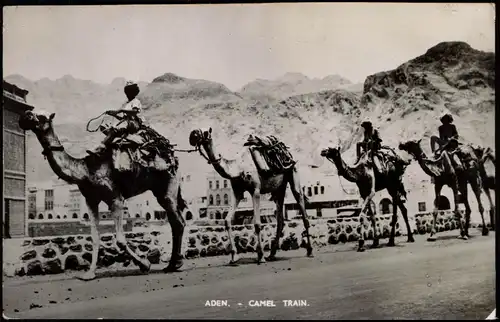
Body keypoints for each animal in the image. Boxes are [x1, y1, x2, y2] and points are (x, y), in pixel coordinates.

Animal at [19, 110, 188, 280]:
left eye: (42, 117)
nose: (26, 114)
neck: (85, 171)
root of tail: (173, 157)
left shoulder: (116, 198)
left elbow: (120, 239)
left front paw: (145, 264)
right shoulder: (91, 200)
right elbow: (95, 238)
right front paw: (89, 273)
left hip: (169, 182)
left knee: (178, 220)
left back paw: (174, 264)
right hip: (160, 189)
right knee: (175, 220)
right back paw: (173, 264)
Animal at [188, 127, 312, 264]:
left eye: (205, 133)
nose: (193, 134)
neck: (237, 167)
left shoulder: (255, 190)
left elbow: (257, 223)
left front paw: (261, 256)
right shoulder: (237, 192)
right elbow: (227, 221)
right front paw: (234, 256)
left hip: (293, 173)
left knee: (302, 208)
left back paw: (309, 251)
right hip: (279, 188)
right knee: (280, 219)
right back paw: (272, 254)